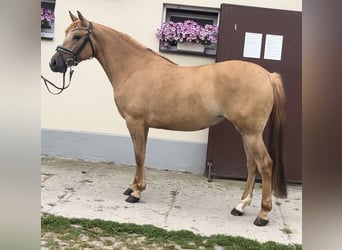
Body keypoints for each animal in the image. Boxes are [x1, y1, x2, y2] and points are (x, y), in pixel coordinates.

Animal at [49, 11, 288, 227]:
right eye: (66, 33)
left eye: (77, 36)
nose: (54, 63)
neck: (134, 68)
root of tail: (268, 75)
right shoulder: (143, 125)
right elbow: (141, 154)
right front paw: (133, 186)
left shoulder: (135, 122)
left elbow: (139, 155)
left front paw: (136, 193)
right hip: (246, 133)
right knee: (252, 165)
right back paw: (240, 206)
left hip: (251, 133)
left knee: (265, 165)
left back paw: (263, 214)